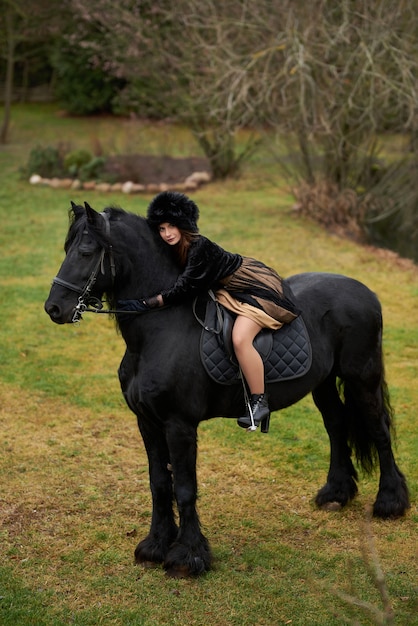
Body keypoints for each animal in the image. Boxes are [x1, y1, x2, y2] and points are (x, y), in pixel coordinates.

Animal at [45, 201, 408, 576]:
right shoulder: (147, 422)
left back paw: (390, 502)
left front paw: (188, 556)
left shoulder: (179, 425)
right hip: (323, 383)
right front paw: (155, 546)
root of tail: (366, 291)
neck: (159, 331)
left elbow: (184, 487)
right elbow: (159, 483)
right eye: (67, 248)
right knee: (336, 426)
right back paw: (336, 494)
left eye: (86, 252)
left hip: (362, 378)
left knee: (379, 430)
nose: (54, 307)